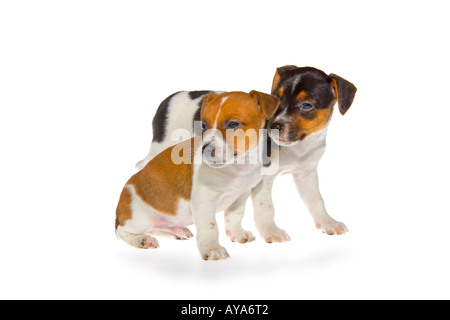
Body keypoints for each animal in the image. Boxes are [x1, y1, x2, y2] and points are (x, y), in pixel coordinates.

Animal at [114, 90, 280, 260]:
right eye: (204, 125)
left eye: (233, 124)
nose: (204, 149)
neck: (237, 167)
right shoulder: (204, 200)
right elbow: (210, 227)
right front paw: (213, 249)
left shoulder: (240, 197)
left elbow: (234, 217)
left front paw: (237, 234)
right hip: (140, 218)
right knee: (122, 232)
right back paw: (142, 240)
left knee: (156, 227)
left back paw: (177, 231)